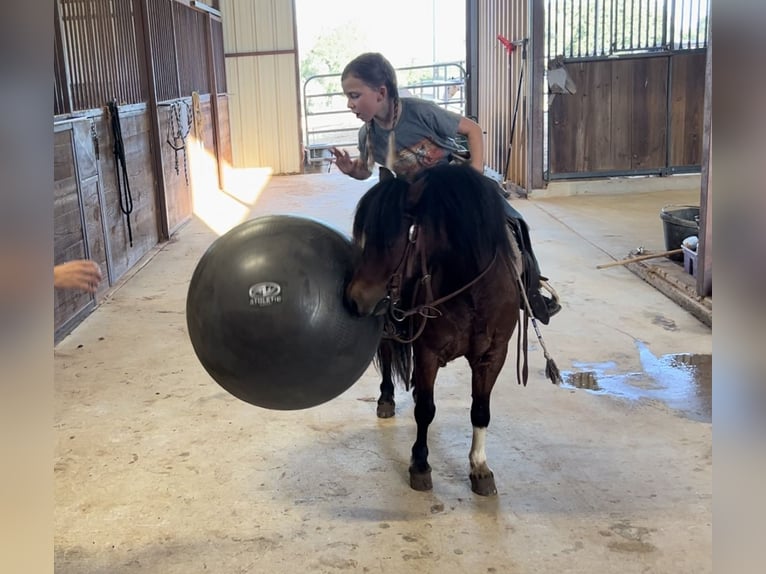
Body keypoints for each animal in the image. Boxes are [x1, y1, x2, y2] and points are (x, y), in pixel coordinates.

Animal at [346, 164, 520, 498]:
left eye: (392, 240)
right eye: (365, 236)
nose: (355, 299)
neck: (471, 292)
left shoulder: (494, 354)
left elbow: (480, 409)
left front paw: (480, 467)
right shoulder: (427, 352)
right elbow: (425, 410)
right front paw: (420, 465)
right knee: (387, 354)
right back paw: (386, 399)